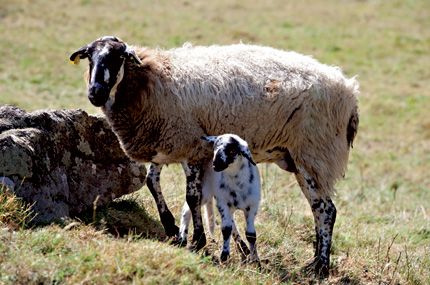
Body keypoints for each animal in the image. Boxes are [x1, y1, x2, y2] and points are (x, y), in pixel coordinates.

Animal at [179, 133, 260, 262]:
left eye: (232, 150)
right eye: (215, 147)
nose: (215, 165)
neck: (238, 184)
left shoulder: (252, 206)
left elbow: (251, 234)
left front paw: (256, 261)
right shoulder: (222, 202)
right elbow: (226, 228)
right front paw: (224, 256)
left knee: (232, 220)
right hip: (205, 191)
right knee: (188, 207)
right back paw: (182, 238)